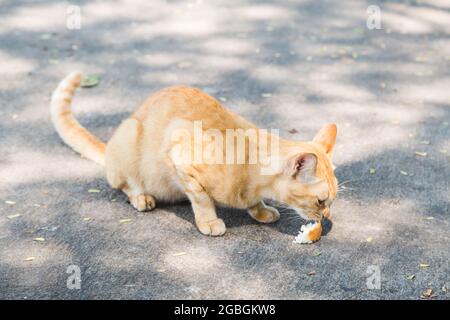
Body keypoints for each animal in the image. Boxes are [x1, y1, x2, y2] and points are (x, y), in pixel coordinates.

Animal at [51, 71, 336, 239]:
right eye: (321, 201)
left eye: (330, 202)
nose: (326, 218)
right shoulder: (179, 153)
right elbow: (201, 200)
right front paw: (209, 222)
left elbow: (253, 203)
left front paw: (261, 210)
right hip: (128, 138)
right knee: (125, 184)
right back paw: (142, 197)